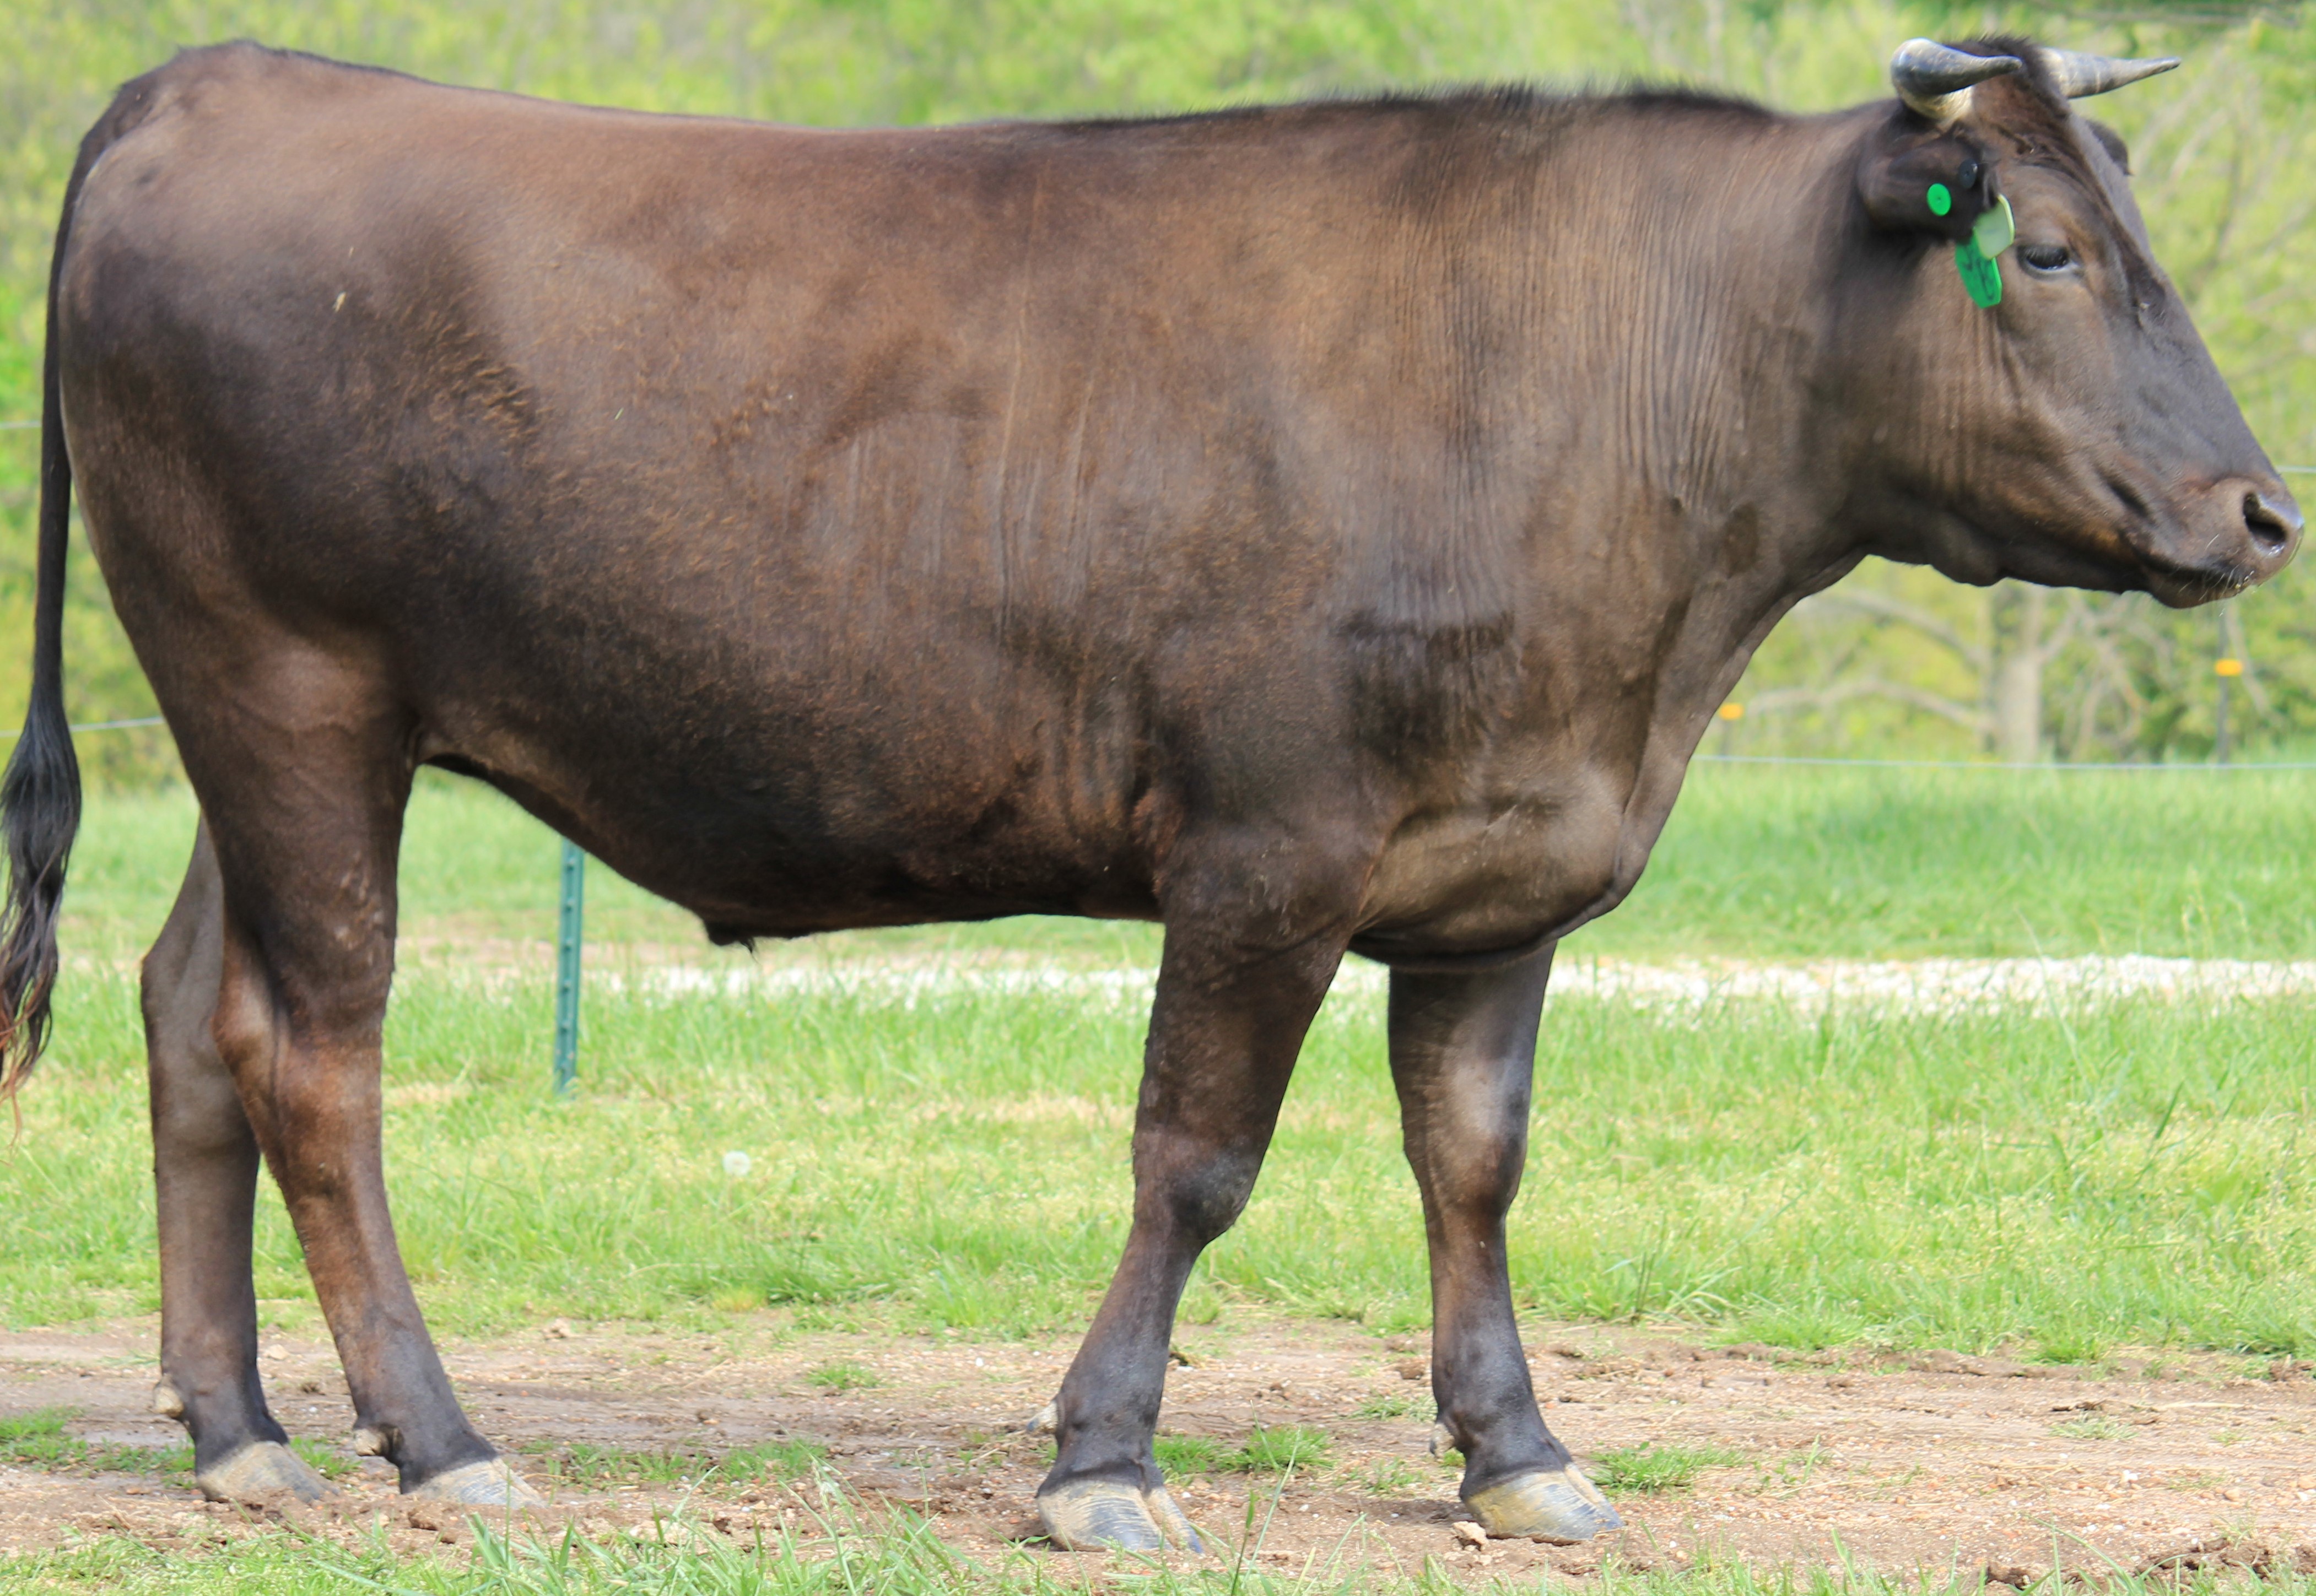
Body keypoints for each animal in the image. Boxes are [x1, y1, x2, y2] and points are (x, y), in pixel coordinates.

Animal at [0, 37, 2288, 1547]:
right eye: (2050, 253)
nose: (2260, 511)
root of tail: (225, 75)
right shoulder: (1268, 850)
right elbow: (1195, 1158)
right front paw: (1100, 1460)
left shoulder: (1499, 869)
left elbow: (1475, 1159)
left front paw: (1521, 1453)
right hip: (294, 687)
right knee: (317, 1049)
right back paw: (440, 1435)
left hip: (258, 727)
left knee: (190, 1013)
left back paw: (236, 1427)